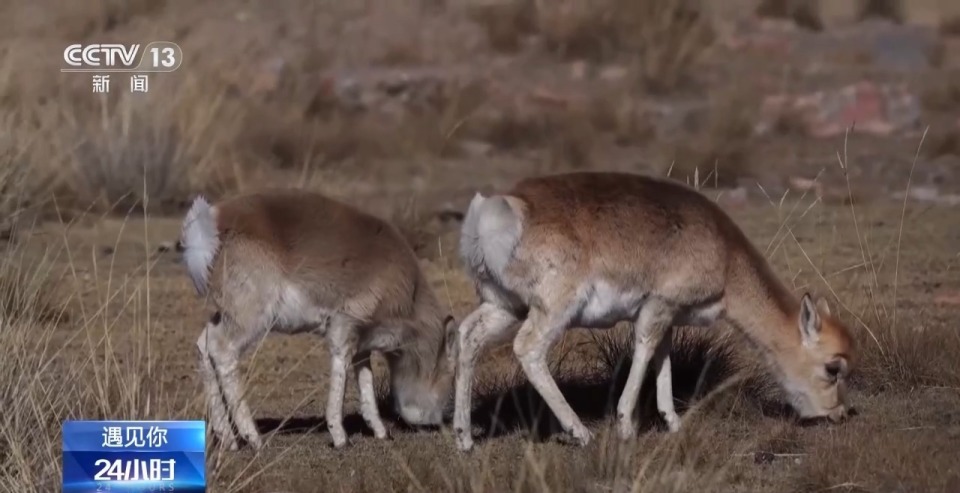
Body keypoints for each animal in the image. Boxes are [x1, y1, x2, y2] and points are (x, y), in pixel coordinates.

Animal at [179, 189, 458, 450]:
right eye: (451, 372)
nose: (439, 423)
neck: (409, 292)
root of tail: (214, 220)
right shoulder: (342, 330)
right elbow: (340, 376)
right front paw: (341, 437)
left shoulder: (362, 344)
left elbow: (365, 381)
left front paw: (380, 432)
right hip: (249, 321)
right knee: (222, 351)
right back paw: (254, 438)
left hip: (225, 317)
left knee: (204, 345)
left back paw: (229, 440)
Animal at [454, 171, 860, 452]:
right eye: (833, 368)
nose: (839, 414)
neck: (727, 258)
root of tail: (494, 210)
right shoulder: (656, 308)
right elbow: (645, 351)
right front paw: (625, 426)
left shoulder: (668, 316)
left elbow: (663, 358)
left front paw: (673, 423)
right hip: (551, 311)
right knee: (528, 349)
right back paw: (581, 432)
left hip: (505, 307)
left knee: (467, 336)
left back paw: (464, 438)